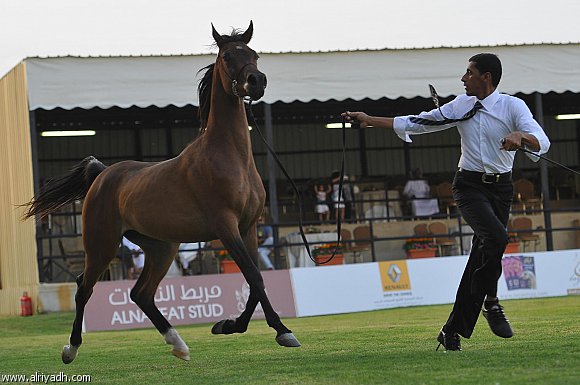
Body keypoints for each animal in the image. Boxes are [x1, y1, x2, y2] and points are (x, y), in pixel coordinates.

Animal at [24, 21, 302, 364]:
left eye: (254, 54)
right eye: (227, 57)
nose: (257, 81)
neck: (230, 157)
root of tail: (102, 174)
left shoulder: (248, 228)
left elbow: (255, 281)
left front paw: (228, 325)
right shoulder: (226, 227)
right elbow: (255, 276)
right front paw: (280, 331)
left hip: (161, 248)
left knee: (140, 294)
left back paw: (178, 344)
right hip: (102, 245)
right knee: (83, 288)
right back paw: (71, 348)